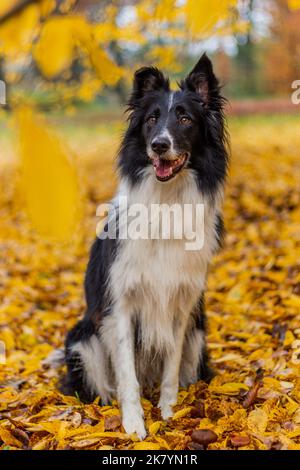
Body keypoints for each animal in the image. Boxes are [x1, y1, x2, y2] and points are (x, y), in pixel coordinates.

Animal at [62, 53, 227, 438]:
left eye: (185, 118)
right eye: (151, 119)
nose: (159, 145)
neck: (167, 200)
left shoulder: (182, 305)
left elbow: (170, 367)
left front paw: (168, 412)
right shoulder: (119, 306)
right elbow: (127, 375)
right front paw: (134, 424)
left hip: (199, 333)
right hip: (83, 338)